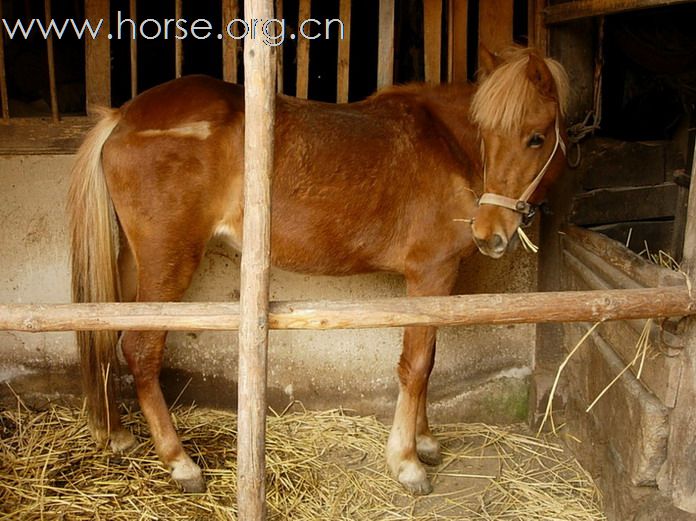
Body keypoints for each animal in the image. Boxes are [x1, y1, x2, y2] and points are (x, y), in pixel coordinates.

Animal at [69, 47, 572, 496]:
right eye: (492, 135)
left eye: (536, 137)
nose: (490, 233)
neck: (446, 144)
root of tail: (124, 116)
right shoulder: (431, 274)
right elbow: (417, 365)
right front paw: (407, 462)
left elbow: (427, 361)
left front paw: (425, 441)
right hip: (168, 264)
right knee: (140, 351)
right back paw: (180, 463)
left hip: (134, 266)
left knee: (107, 336)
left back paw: (118, 434)